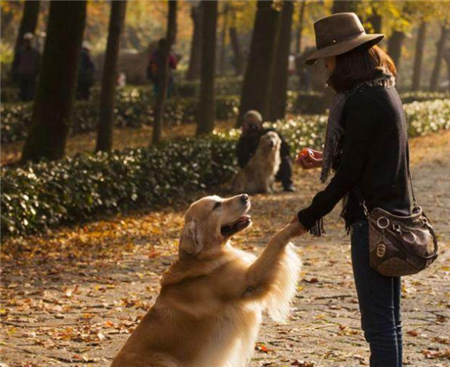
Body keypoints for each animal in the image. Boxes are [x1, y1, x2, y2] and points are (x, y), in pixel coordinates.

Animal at [111, 194, 302, 366]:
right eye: (217, 205)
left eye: (220, 198)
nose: (246, 196)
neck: (205, 255)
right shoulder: (250, 281)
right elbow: (275, 239)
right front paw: (295, 225)